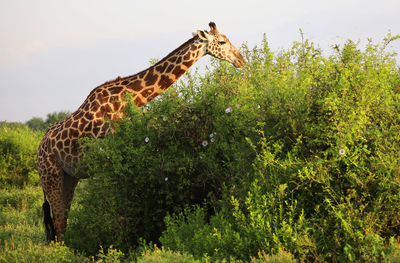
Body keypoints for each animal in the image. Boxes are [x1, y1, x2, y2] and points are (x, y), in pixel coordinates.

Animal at [37, 21, 245, 242]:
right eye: (221, 41)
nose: (241, 60)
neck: (124, 101)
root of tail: (39, 151)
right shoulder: (106, 158)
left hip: (69, 177)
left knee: (62, 221)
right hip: (50, 174)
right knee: (58, 221)